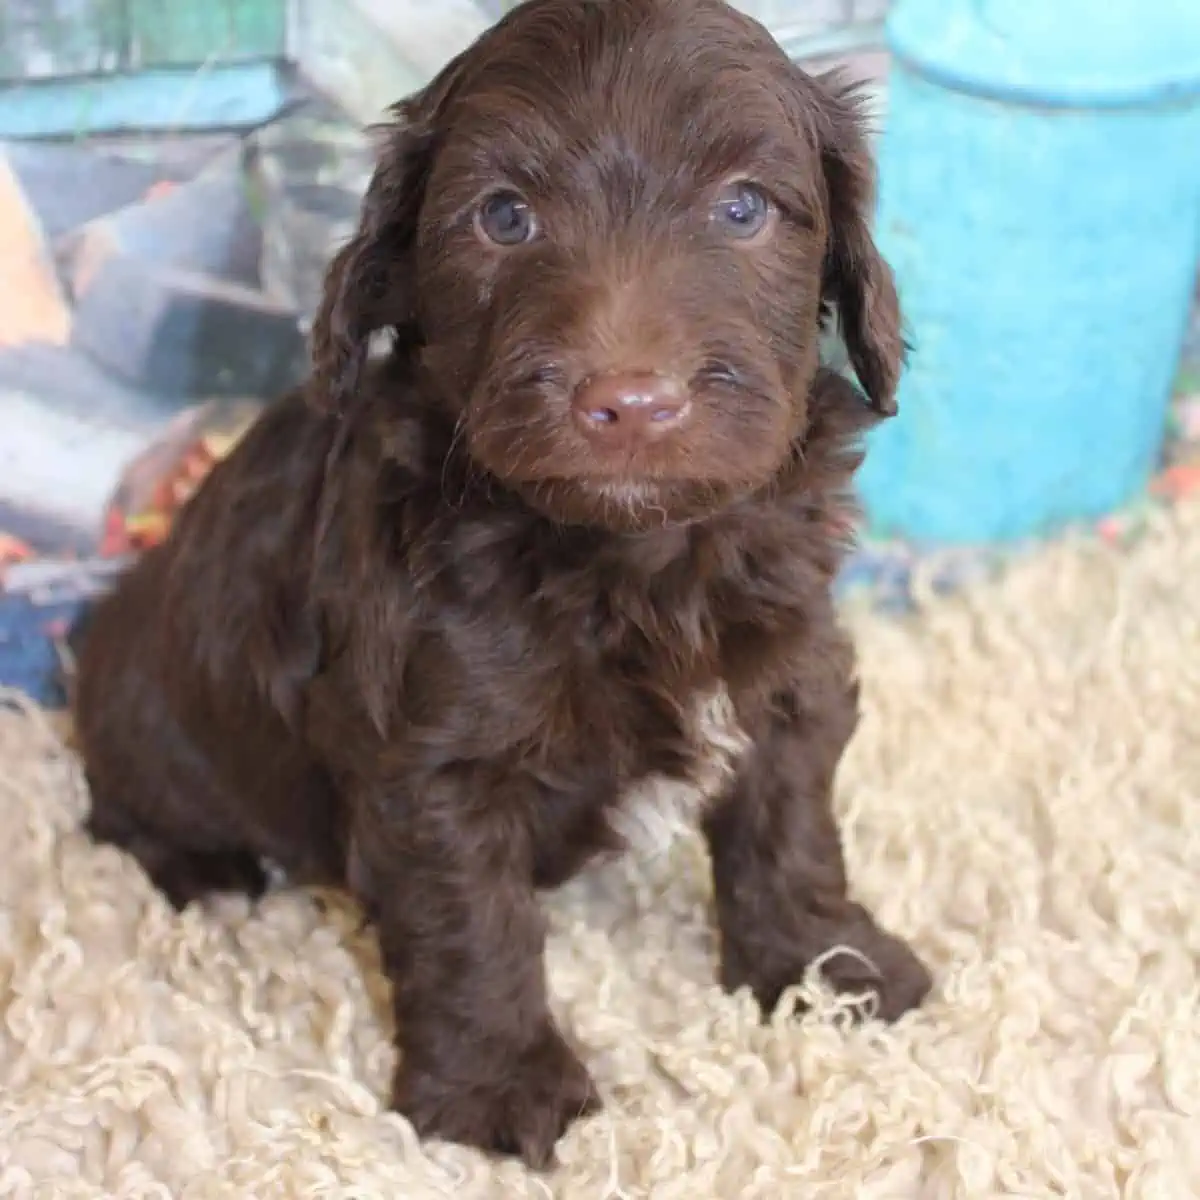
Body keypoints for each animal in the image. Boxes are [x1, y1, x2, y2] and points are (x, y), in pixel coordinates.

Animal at [70, 0, 931, 1166]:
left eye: (744, 207)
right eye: (505, 217)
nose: (631, 401)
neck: (633, 559)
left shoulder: (788, 662)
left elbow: (789, 823)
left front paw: (822, 967)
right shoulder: (431, 760)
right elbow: (471, 923)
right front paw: (499, 1089)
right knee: (122, 813)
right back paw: (209, 876)